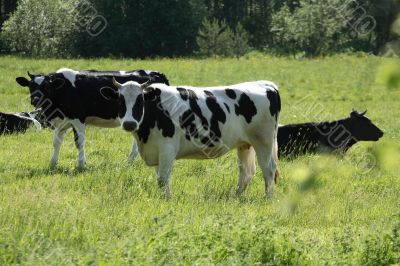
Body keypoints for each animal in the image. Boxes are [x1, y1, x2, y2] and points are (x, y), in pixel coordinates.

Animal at [15, 68, 169, 168]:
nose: (35, 99)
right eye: (31, 86)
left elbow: (79, 142)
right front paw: (53, 164)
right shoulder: (62, 122)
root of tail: (156, 73)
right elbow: (56, 142)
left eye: (46, 86)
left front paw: (81, 164)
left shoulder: (78, 119)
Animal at [107, 78, 282, 197]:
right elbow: (161, 177)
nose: (129, 123)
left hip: (264, 141)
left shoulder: (167, 148)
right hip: (245, 144)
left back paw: (268, 197)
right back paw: (237, 196)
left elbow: (162, 179)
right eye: (121, 101)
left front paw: (167, 199)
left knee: (268, 169)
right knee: (246, 171)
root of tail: (266, 84)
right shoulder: (156, 150)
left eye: (140, 101)